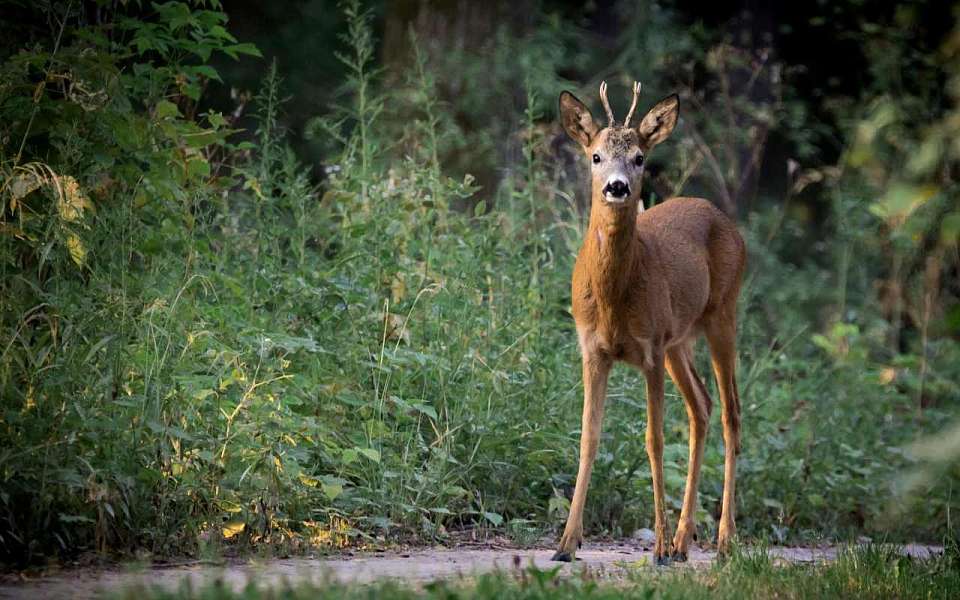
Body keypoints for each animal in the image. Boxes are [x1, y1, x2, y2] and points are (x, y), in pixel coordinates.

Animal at [552, 81, 748, 568]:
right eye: (596, 156)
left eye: (640, 157)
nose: (618, 187)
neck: (613, 300)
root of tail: (724, 218)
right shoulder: (592, 349)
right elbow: (588, 437)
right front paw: (566, 543)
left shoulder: (650, 348)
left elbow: (654, 440)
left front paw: (655, 547)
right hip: (681, 340)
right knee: (702, 406)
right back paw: (682, 542)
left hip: (722, 314)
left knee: (731, 413)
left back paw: (721, 541)